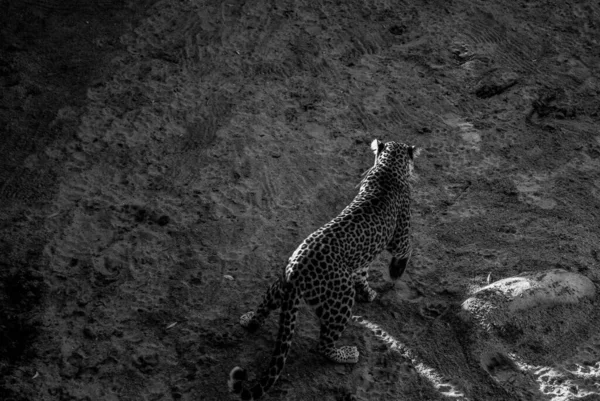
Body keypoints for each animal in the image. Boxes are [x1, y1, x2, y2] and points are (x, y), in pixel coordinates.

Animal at [226, 138, 418, 396]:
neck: (388, 167)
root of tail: (296, 273)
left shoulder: (360, 260)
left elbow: (362, 273)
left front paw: (368, 293)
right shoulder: (400, 233)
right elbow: (406, 249)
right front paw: (396, 272)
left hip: (279, 288)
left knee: (263, 308)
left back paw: (248, 319)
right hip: (341, 299)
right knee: (324, 345)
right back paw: (347, 354)